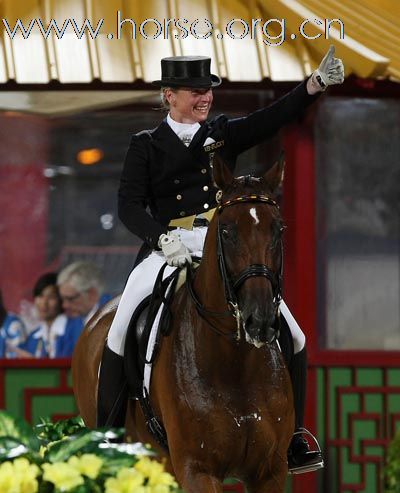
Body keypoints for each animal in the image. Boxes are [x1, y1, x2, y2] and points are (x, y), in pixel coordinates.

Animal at [72, 156, 294, 490]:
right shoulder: (197, 469)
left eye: (278, 229)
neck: (234, 364)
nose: (260, 319)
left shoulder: (269, 472)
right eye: (227, 231)